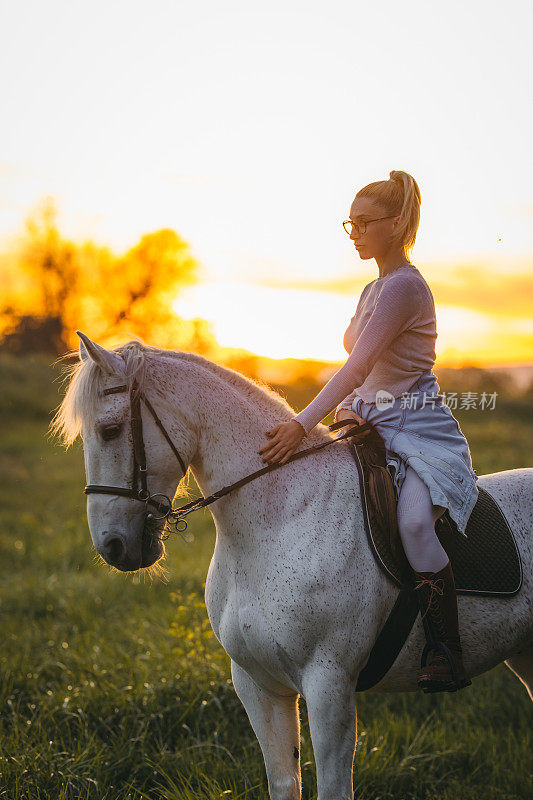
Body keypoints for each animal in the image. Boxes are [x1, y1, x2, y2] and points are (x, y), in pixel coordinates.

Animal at [53, 332, 532, 800]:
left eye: (110, 430)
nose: (113, 546)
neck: (279, 519)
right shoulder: (258, 685)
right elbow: (284, 782)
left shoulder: (328, 685)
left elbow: (333, 788)